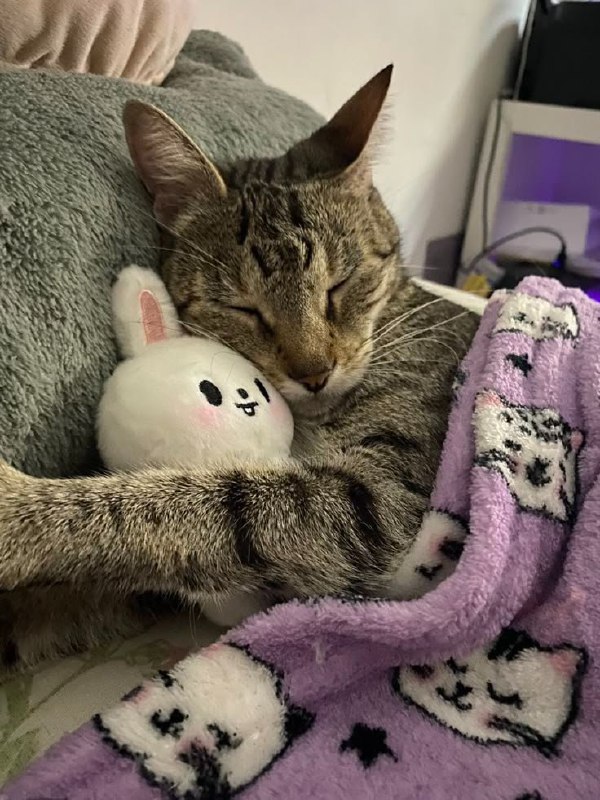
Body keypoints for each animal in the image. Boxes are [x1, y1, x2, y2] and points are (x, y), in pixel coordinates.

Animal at [0, 66, 479, 672]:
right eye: (243, 308)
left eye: (339, 285)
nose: (315, 373)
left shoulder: (380, 503)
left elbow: (194, 507)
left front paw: (19, 511)